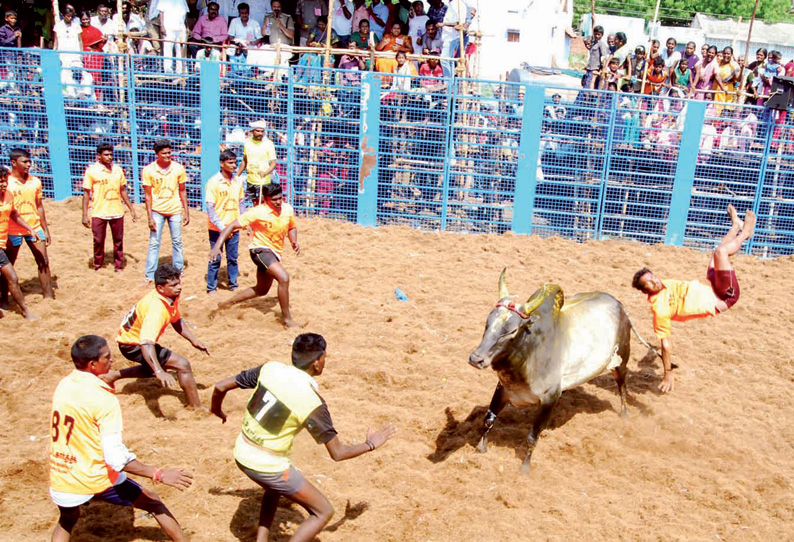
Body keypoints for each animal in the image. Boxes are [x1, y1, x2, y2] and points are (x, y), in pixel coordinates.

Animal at [468, 270, 652, 472]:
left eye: (512, 330)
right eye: (488, 322)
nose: (476, 359)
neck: (530, 352)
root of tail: (620, 306)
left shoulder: (549, 398)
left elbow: (532, 437)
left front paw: (525, 468)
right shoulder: (503, 389)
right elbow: (488, 419)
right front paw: (480, 448)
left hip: (621, 362)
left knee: (622, 388)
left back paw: (625, 416)